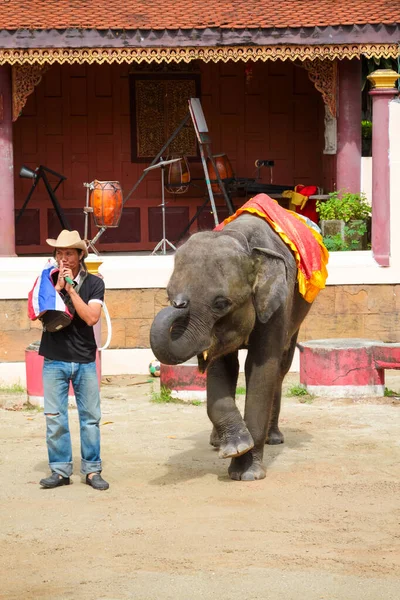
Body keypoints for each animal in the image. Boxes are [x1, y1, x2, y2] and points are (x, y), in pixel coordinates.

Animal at [150, 203, 324, 482]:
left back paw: (274, 438)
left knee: (281, 369)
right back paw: (216, 442)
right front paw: (236, 446)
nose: (179, 304)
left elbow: (261, 367)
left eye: (221, 303)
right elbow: (222, 368)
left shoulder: (278, 304)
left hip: (297, 315)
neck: (242, 242)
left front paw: (248, 472)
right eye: (168, 295)